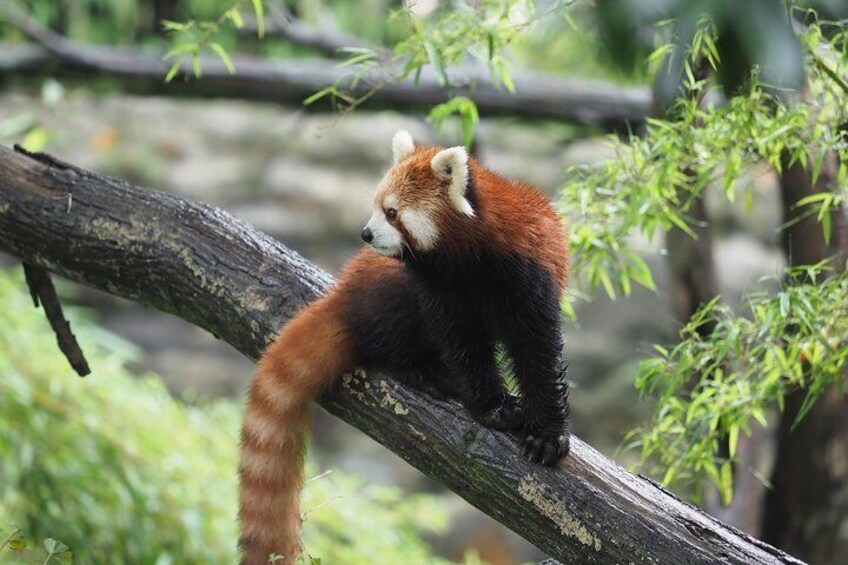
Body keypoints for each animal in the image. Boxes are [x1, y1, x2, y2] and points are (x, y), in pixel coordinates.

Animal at [238, 131, 568, 560]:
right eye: (376, 206)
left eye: (392, 212)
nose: (365, 234)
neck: (474, 259)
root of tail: (345, 294)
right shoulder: (439, 292)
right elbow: (463, 347)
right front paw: (494, 407)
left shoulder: (530, 276)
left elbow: (538, 351)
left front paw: (547, 434)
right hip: (389, 295)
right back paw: (427, 373)